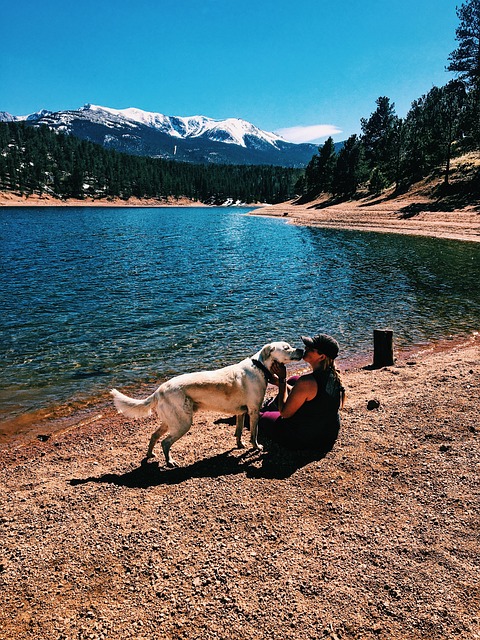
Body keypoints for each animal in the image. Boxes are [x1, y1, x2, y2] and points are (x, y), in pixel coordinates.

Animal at [110, 342, 302, 468]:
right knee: (165, 442)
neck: (260, 366)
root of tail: (159, 390)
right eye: (286, 348)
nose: (301, 349)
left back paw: (150, 454)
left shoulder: (241, 412)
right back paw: (170, 461)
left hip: (171, 421)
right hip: (182, 423)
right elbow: (254, 433)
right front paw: (256, 447)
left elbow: (239, 431)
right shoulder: (254, 411)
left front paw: (239, 445)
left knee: (153, 436)